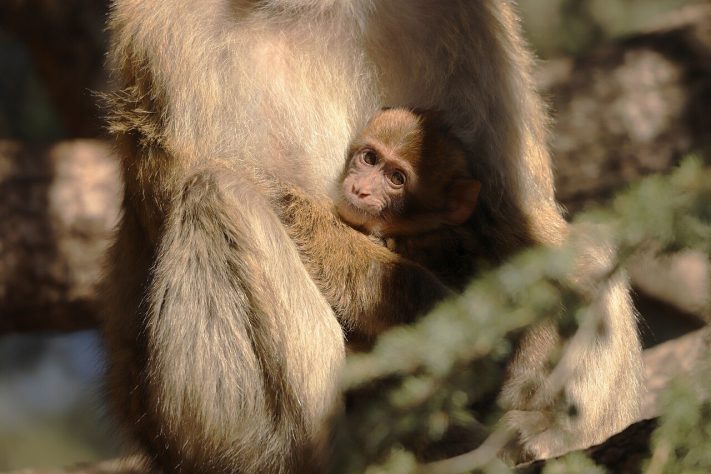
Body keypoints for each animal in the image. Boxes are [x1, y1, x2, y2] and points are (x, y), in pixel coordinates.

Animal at [101, 1, 643, 472]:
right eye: (367, 160)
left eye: (396, 176)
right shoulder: (157, 31)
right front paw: (439, 312)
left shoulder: (475, 16)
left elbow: (517, 211)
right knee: (218, 191)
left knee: (588, 250)